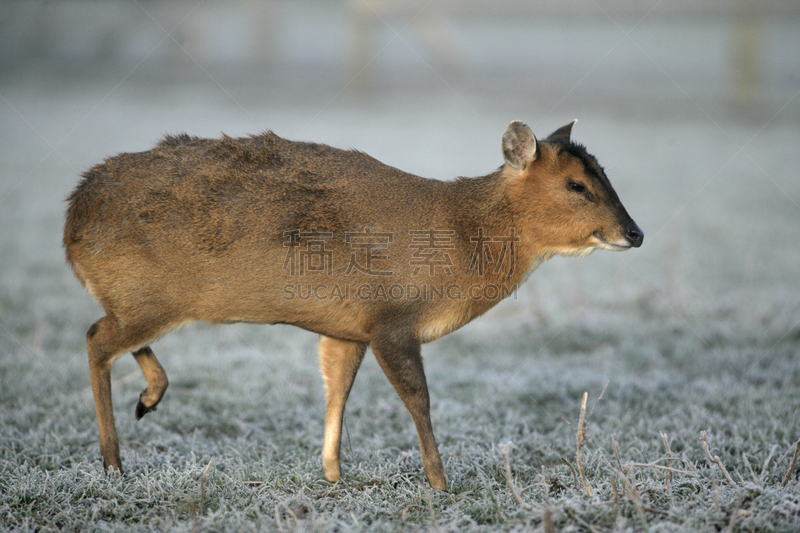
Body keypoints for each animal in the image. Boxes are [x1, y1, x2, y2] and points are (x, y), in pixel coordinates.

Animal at [67, 120, 644, 490]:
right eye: (577, 184)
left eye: (606, 174)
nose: (635, 233)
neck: (460, 242)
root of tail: (72, 219)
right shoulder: (389, 317)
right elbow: (418, 399)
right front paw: (441, 483)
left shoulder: (348, 326)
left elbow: (335, 390)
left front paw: (332, 474)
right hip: (151, 292)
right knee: (96, 337)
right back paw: (113, 463)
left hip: (145, 297)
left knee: (110, 332)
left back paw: (148, 400)